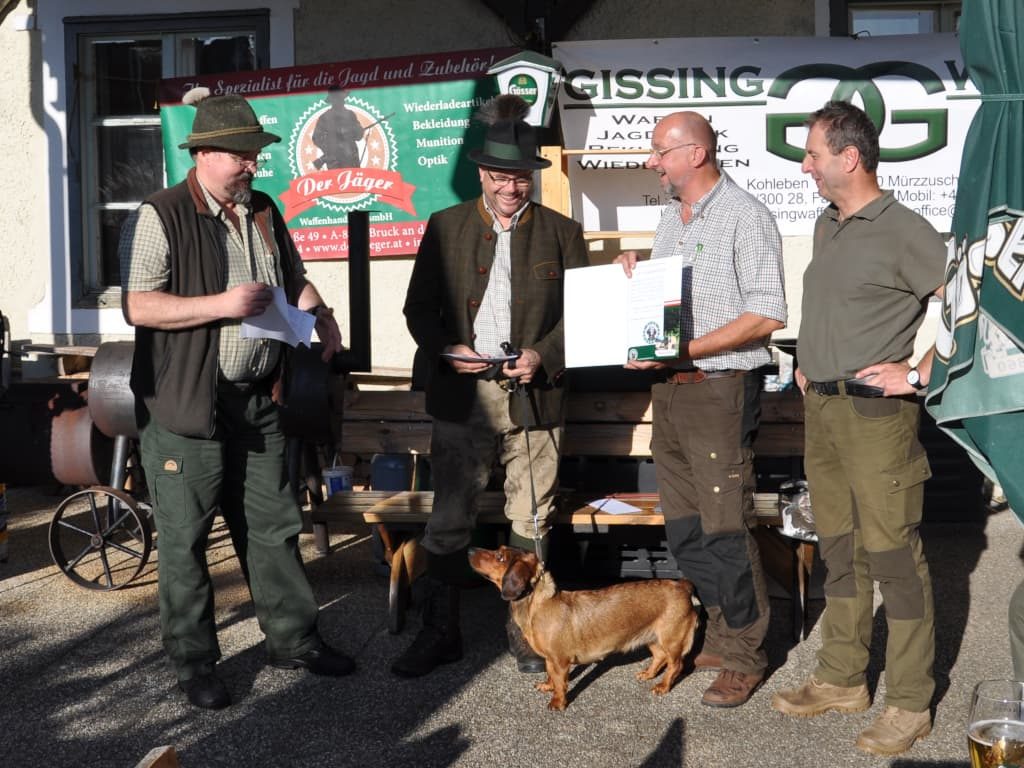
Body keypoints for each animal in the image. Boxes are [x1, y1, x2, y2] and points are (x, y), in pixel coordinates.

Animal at [468, 544, 696, 712]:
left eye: (499, 556)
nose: (470, 550)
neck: (538, 604)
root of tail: (682, 586)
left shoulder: (560, 661)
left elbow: (560, 682)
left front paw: (557, 702)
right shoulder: (550, 659)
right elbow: (550, 675)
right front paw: (547, 685)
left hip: (671, 640)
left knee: (675, 665)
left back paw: (662, 686)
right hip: (653, 638)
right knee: (659, 657)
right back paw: (648, 674)